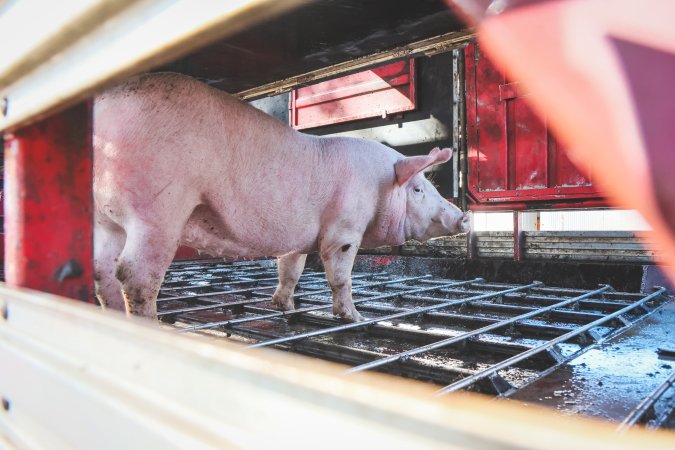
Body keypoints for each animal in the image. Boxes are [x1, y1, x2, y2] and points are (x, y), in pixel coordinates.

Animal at [93, 73, 470, 320]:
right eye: (418, 189)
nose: (463, 216)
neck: (377, 184)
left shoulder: (298, 240)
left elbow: (291, 270)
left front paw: (283, 307)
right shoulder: (343, 229)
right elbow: (340, 275)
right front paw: (354, 317)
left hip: (104, 217)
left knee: (103, 270)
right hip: (159, 206)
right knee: (134, 273)